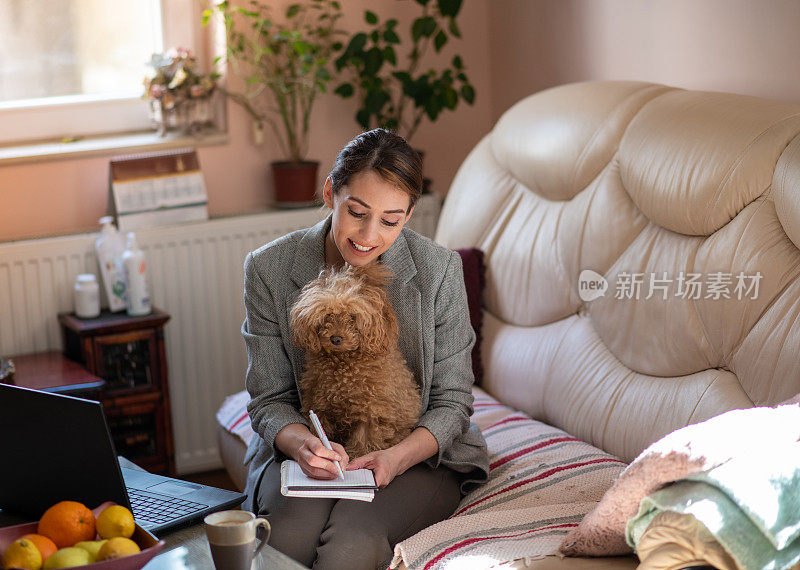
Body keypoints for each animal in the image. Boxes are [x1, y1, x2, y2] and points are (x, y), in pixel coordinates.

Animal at [290, 262, 422, 458]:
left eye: (352, 316)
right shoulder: (319, 405)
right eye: (327, 315)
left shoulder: (373, 412)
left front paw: (356, 457)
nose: (336, 339)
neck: (344, 362)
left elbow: (364, 442)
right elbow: (319, 430)